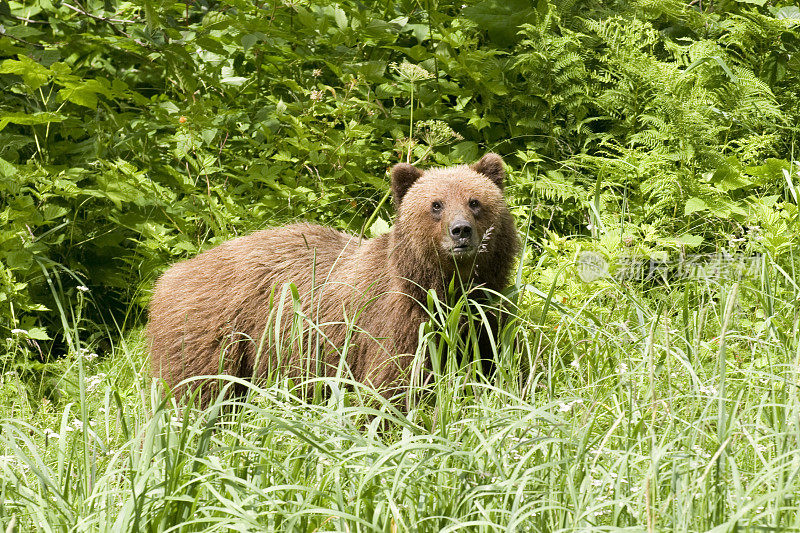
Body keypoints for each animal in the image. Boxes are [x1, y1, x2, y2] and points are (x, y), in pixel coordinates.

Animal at [147, 154, 520, 404]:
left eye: (475, 201)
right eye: (436, 204)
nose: (461, 232)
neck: (443, 288)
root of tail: (169, 276)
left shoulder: (482, 319)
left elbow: (488, 369)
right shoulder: (396, 323)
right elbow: (391, 387)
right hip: (212, 337)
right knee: (192, 394)